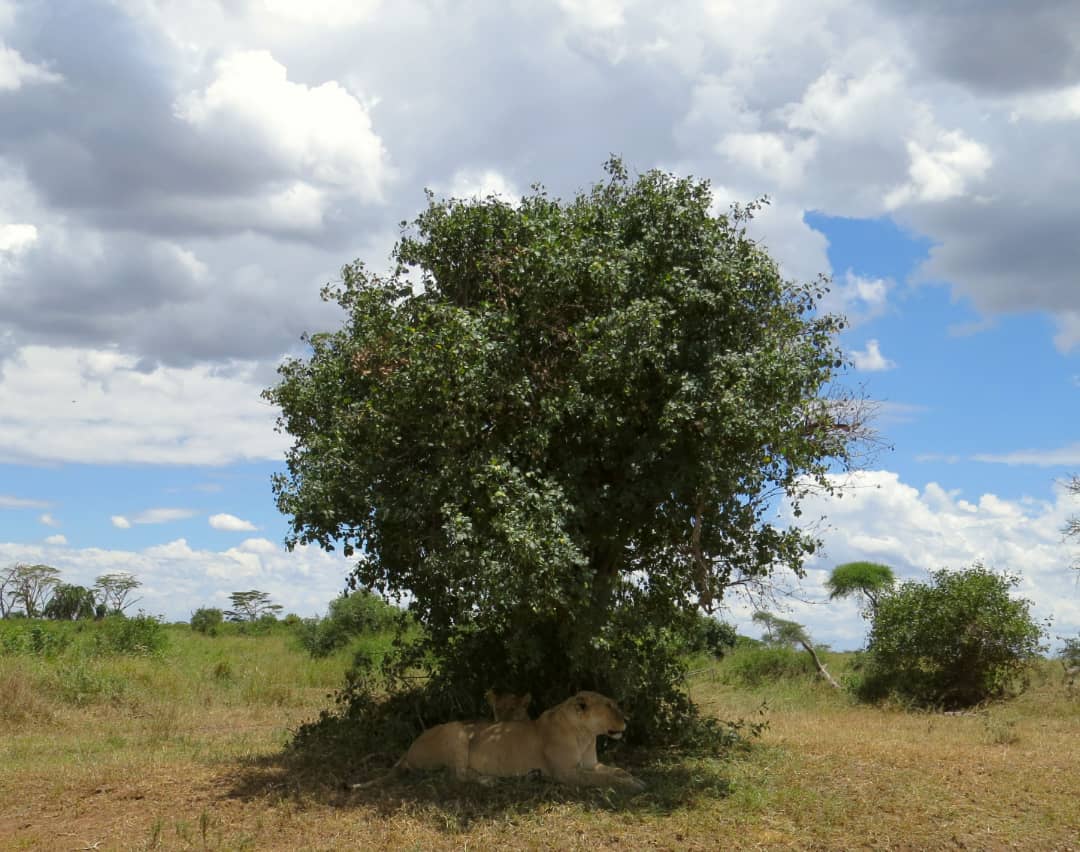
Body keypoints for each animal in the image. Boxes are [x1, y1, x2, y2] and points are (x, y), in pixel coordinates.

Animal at [354, 686, 639, 790]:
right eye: (609, 706)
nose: (627, 721)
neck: (586, 735)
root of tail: (409, 747)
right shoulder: (566, 773)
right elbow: (602, 779)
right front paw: (633, 785)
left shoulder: (591, 764)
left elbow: (616, 770)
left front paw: (634, 778)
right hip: (457, 731)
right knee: (456, 776)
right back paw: (490, 780)